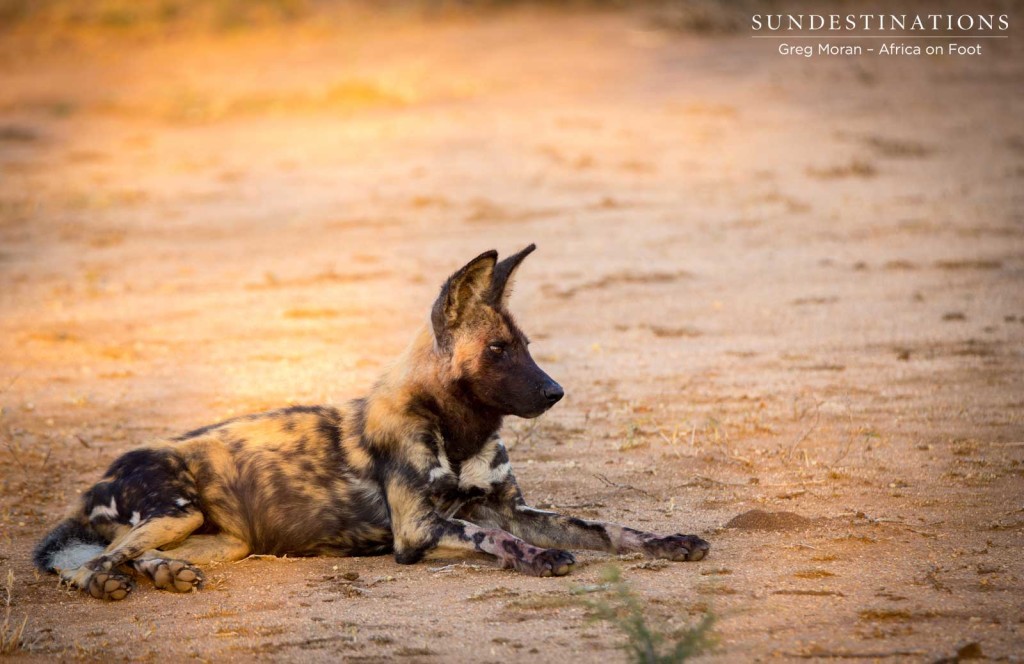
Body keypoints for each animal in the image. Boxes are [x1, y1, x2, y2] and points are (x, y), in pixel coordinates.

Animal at [29, 244, 704, 602]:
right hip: (176, 513)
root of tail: (97, 479)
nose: (555, 391)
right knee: (95, 563)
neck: (460, 431)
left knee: (124, 554)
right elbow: (499, 541)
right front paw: (540, 560)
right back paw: (113, 583)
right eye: (497, 351)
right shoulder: (420, 529)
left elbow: (609, 528)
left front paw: (670, 542)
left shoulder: (510, 508)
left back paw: (169, 572)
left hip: (218, 537)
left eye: (527, 347)